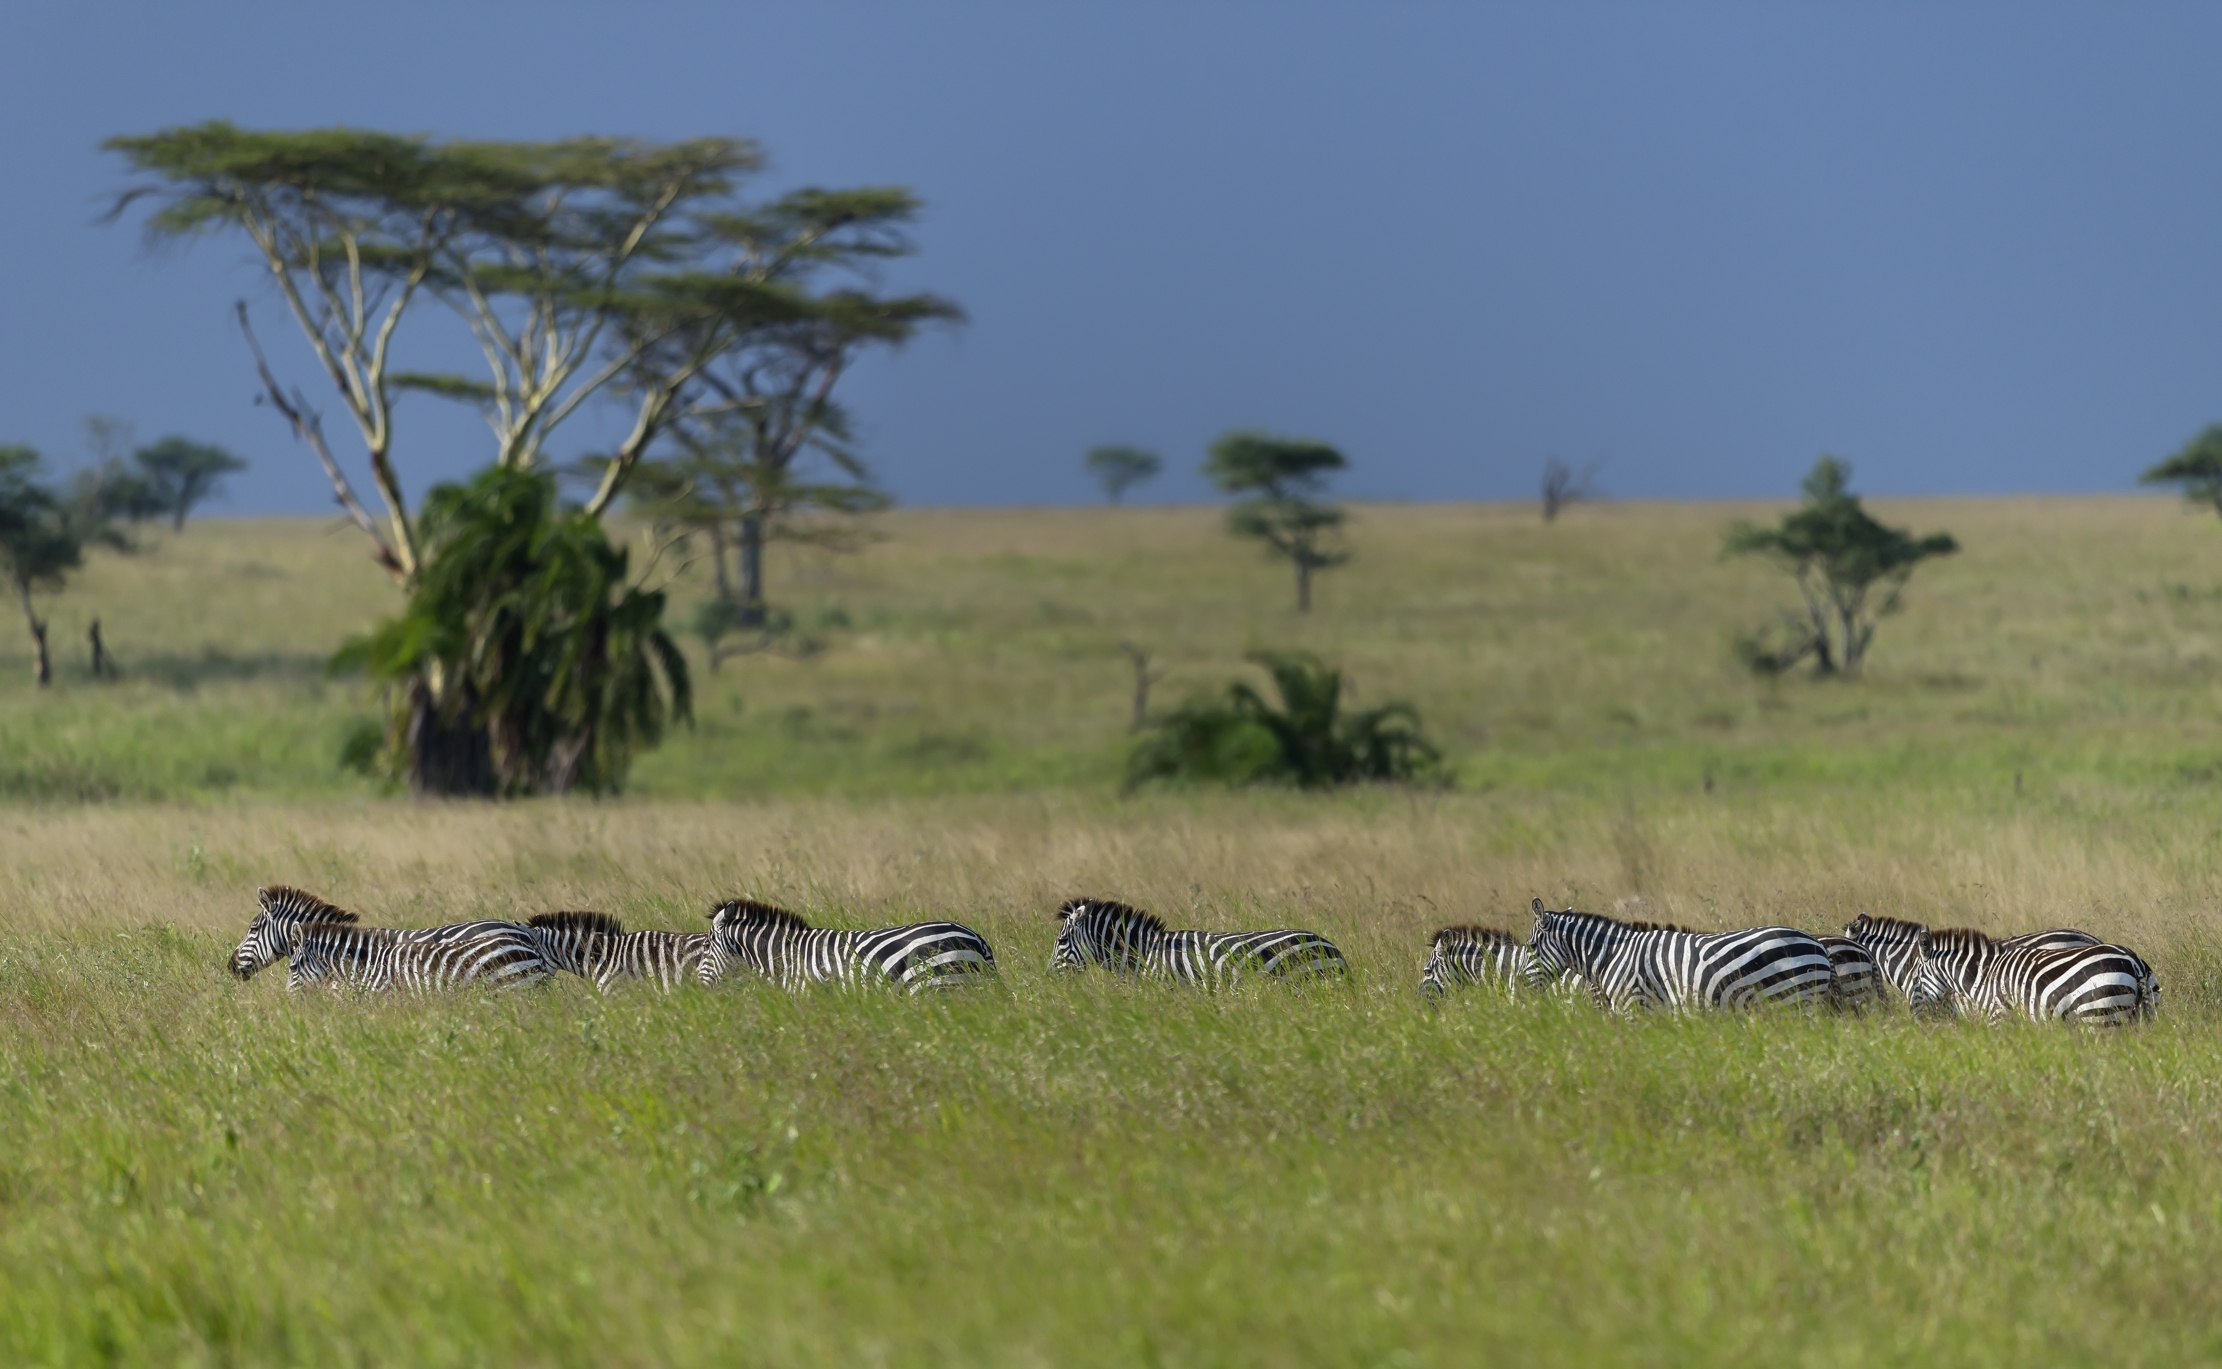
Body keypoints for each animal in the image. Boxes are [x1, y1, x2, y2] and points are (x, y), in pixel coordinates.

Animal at [1526, 899, 1835, 1013]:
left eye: (1530, 947)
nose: (1520, 987)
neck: (1613, 955)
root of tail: (1816, 944)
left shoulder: (1635, 1006)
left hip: (1796, 1001)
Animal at [1908, 927, 2157, 1025]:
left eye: (1915, 980)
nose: (1916, 1020)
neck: (1983, 976)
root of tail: (2134, 962)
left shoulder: (2000, 1017)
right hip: (2143, 1015)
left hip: (2101, 1016)